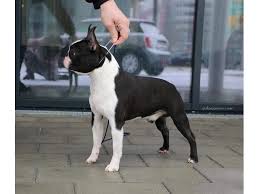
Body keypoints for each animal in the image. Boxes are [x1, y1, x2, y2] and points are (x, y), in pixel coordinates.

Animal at [63, 25, 199, 172]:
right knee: (166, 131)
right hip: (160, 119)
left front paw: (113, 166)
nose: (65, 54)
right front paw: (93, 158)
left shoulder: (116, 122)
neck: (99, 79)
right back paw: (165, 148)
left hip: (179, 117)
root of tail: (173, 86)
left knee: (191, 136)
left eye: (73, 53)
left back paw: (193, 158)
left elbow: (116, 147)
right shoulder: (97, 118)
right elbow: (96, 141)